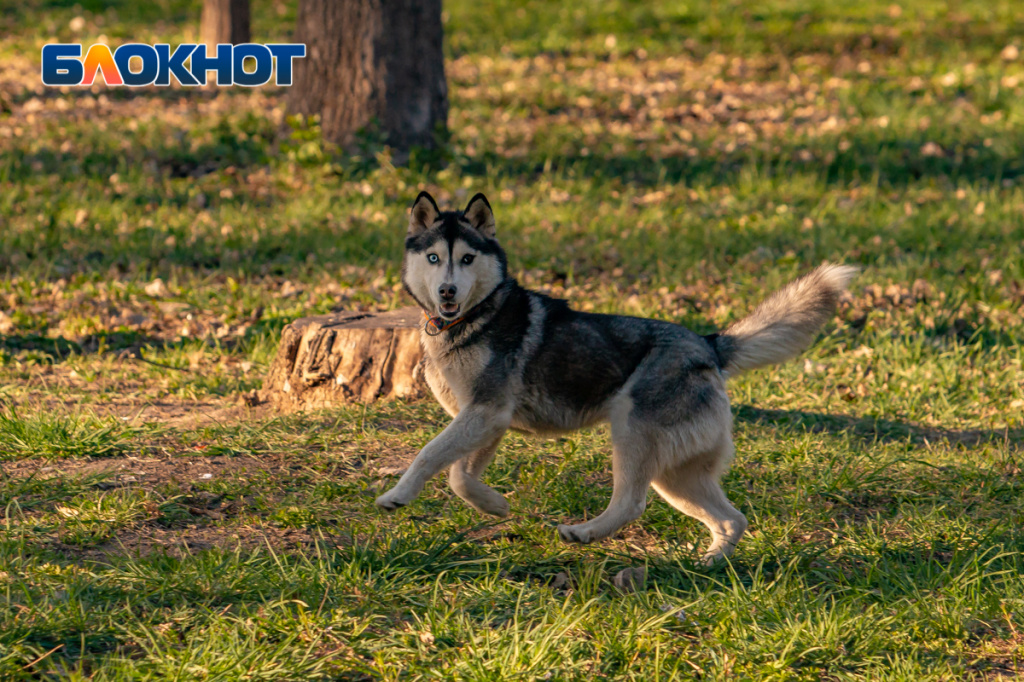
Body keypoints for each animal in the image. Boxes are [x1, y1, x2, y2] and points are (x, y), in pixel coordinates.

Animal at [378, 192, 856, 561]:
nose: (447, 292)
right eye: (434, 258)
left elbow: (431, 456)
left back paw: (584, 533)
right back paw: (710, 564)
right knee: (731, 519)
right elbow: (461, 475)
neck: (474, 318)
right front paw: (495, 506)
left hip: (632, 434)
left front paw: (398, 496)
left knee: (631, 503)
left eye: (467, 258)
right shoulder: (486, 419)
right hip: (676, 474)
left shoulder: (485, 412)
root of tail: (708, 345)